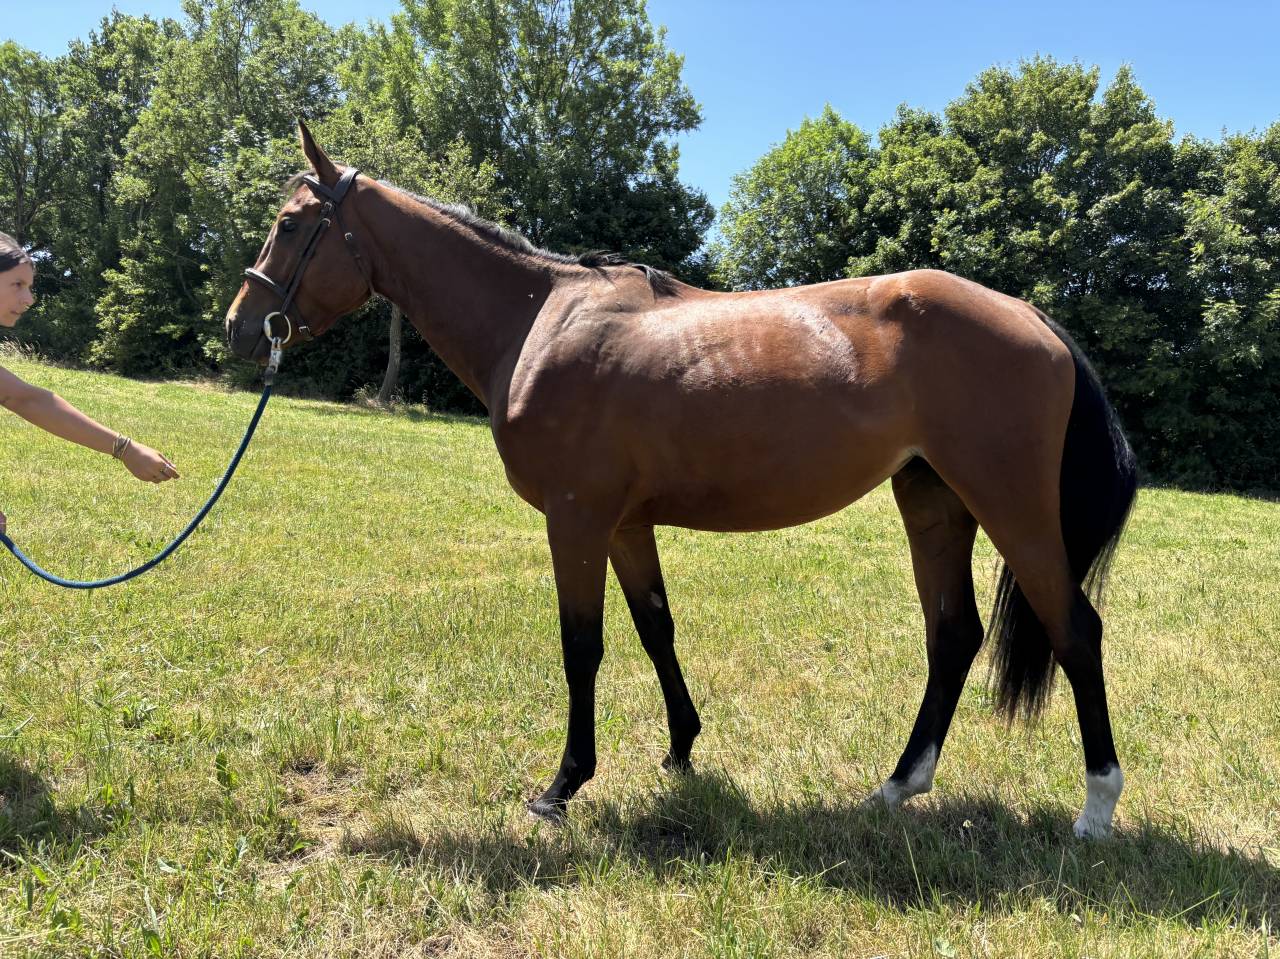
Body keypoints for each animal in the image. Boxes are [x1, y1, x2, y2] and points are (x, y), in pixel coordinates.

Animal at [225, 122, 1138, 839]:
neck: (540, 317)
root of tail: (1031, 316)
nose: (238, 325)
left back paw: (1095, 808)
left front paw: (562, 785)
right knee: (952, 636)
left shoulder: (576, 518)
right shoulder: (627, 524)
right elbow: (656, 628)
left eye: (290, 223)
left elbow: (583, 645)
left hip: (1012, 507)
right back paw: (895, 786)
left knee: (1074, 630)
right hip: (933, 501)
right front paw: (681, 750)